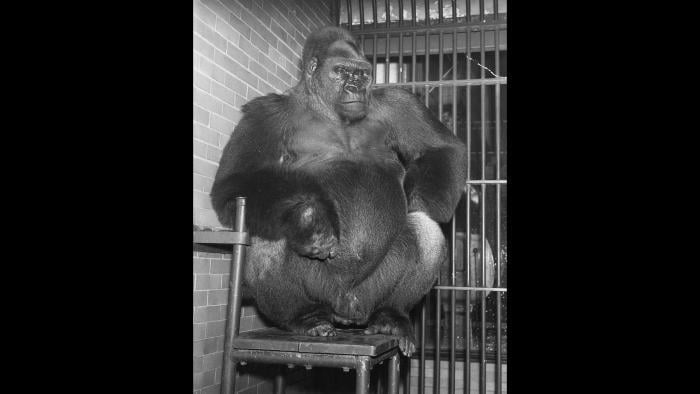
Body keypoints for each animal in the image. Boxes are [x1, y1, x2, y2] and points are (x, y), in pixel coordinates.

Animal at [211, 25, 468, 358]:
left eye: (362, 73)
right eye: (342, 71)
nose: (356, 87)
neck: (324, 107)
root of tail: (346, 311)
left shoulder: (398, 102)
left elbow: (441, 148)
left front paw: (417, 197)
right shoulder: (264, 114)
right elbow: (233, 184)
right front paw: (307, 219)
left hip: (368, 297)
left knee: (425, 225)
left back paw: (392, 316)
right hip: (323, 293)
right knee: (268, 225)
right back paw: (303, 316)